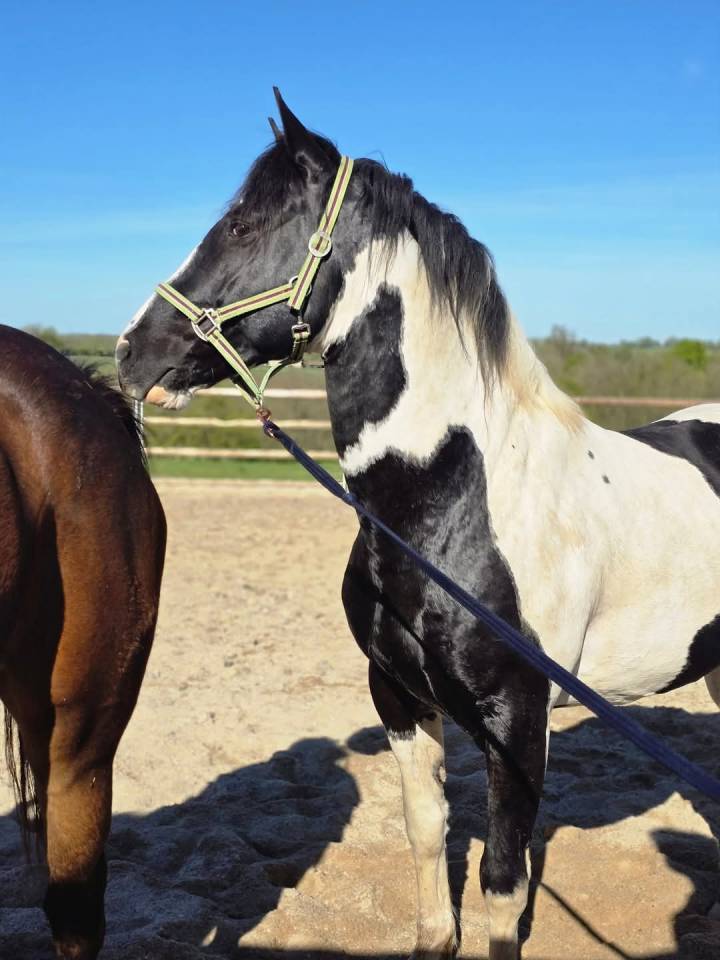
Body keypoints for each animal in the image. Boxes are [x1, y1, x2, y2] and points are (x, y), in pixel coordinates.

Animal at [115, 91, 720, 960]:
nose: (132, 353)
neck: (454, 505)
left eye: (242, 225)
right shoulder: (397, 697)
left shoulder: (517, 722)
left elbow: (502, 878)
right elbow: (427, 833)